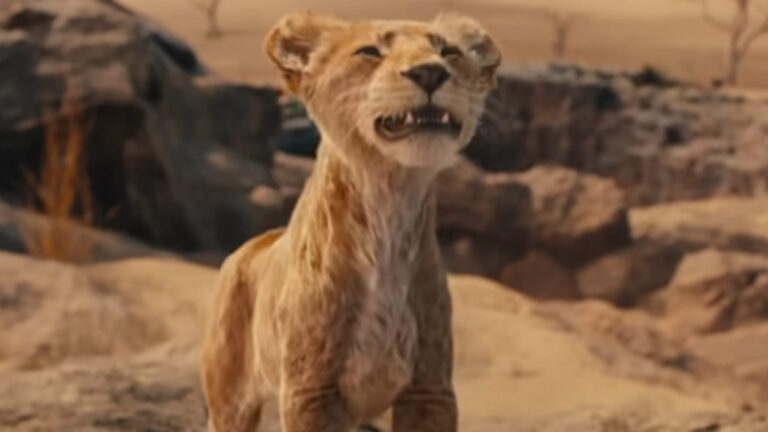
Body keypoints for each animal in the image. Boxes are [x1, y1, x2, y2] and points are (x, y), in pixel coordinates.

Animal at [200, 11, 500, 432]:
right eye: (369, 51)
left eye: (449, 52)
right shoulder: (311, 390)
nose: (429, 72)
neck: (389, 205)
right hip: (230, 402)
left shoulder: (430, 388)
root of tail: (252, 244)